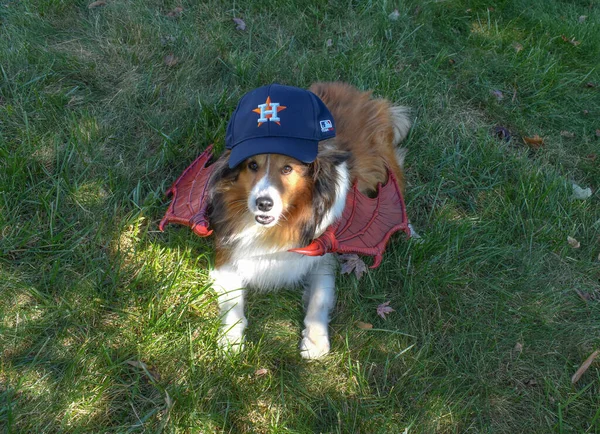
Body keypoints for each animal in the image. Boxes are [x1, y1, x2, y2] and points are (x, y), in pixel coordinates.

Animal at [204, 82, 410, 360]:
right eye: (252, 165)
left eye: (287, 169)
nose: (263, 203)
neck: (279, 226)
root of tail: (357, 93)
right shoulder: (226, 254)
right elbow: (233, 302)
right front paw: (231, 338)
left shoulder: (322, 255)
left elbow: (319, 298)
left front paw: (315, 340)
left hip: (385, 166)